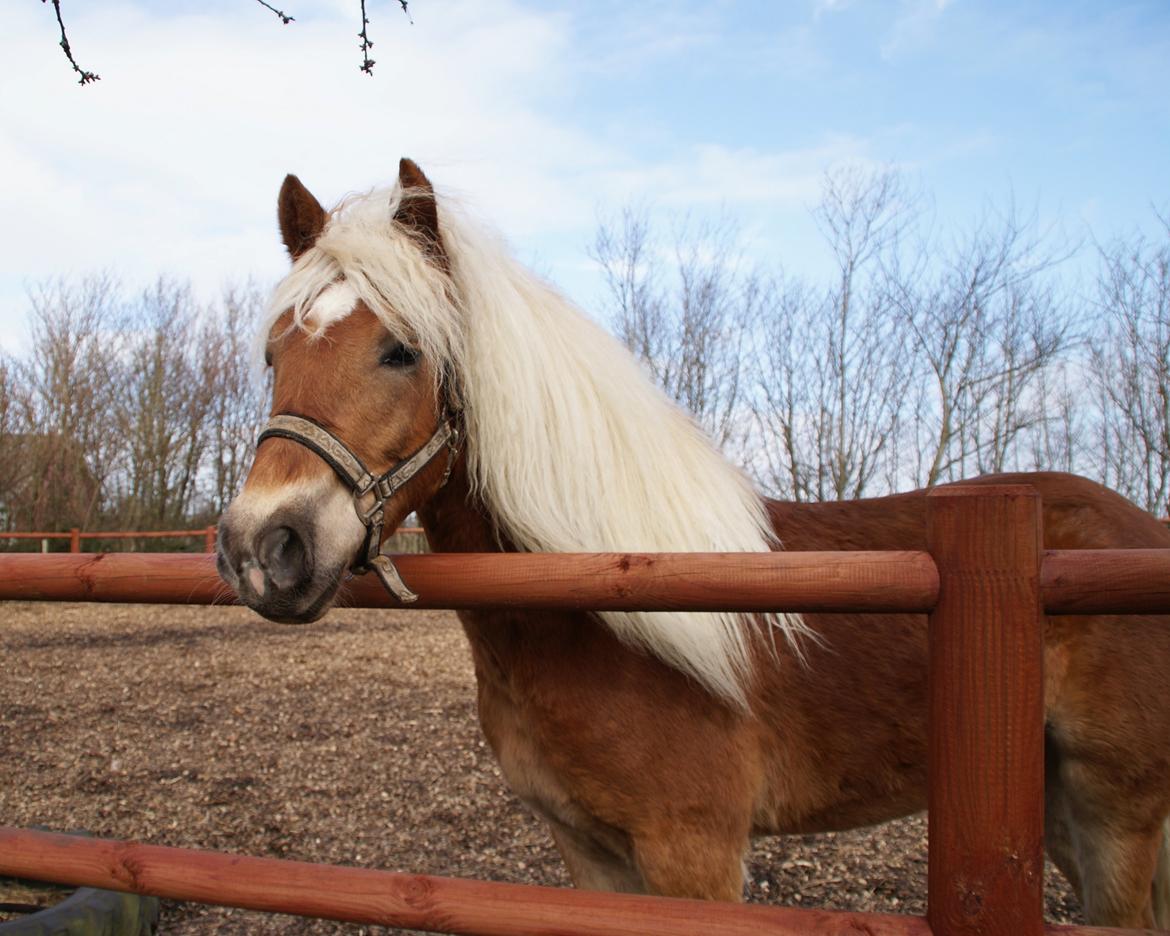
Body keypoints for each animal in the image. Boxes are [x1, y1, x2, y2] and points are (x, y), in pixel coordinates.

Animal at [215, 156, 1170, 926]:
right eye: (273, 355)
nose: (265, 548)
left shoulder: (694, 855)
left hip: (1113, 806)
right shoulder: (589, 853)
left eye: (401, 352)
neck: (602, 606)